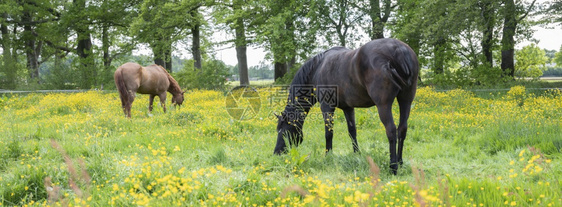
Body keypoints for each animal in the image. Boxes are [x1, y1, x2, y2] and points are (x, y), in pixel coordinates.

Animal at [274, 38, 418, 174]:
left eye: (283, 130)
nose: (276, 153)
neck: (317, 68)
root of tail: (398, 50)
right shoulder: (348, 108)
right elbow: (352, 132)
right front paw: (356, 154)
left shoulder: (326, 106)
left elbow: (329, 133)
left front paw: (328, 156)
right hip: (406, 101)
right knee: (402, 129)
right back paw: (400, 162)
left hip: (383, 105)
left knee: (391, 131)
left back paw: (393, 167)